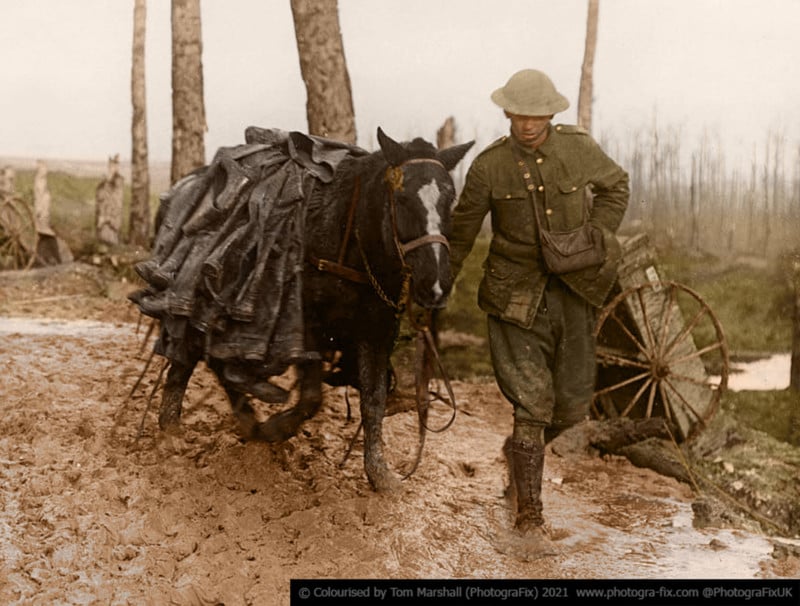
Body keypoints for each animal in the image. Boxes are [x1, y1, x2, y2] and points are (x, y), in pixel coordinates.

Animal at [128, 128, 472, 494]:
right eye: (403, 198)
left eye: (450, 200)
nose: (435, 284)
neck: (345, 235)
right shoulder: (308, 326)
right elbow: (311, 397)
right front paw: (278, 428)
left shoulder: (375, 330)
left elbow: (373, 399)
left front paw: (380, 474)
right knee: (193, 353)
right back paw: (177, 430)